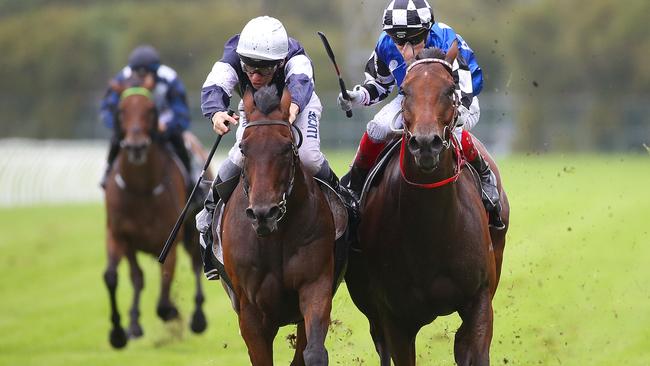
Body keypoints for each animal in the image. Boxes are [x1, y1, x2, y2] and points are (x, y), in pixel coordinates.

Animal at [104, 73, 206, 348]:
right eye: (120, 110)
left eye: (151, 110)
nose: (136, 146)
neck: (141, 189)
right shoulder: (119, 235)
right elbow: (115, 277)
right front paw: (120, 331)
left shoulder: (169, 238)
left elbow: (164, 292)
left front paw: (173, 311)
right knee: (137, 277)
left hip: (193, 229)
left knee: (196, 264)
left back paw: (198, 318)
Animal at [220, 84, 336, 364]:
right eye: (244, 149)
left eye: (286, 147)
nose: (264, 213)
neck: (274, 237)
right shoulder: (251, 310)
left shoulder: (315, 285)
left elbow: (313, 353)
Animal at [342, 49, 508, 366]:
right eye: (405, 91)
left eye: (450, 88)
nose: (426, 143)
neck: (432, 227)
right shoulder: (394, 318)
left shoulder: (480, 301)